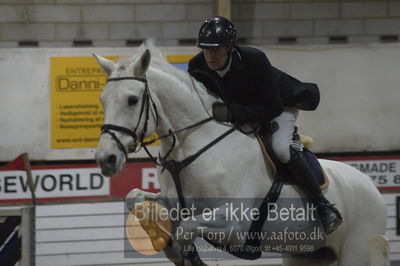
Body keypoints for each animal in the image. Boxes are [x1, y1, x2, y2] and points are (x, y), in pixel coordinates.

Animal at [94, 42, 388, 264]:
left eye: (132, 100)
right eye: (103, 99)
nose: (106, 159)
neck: (191, 145)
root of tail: (369, 184)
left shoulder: (236, 223)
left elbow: (186, 230)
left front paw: (183, 251)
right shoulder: (174, 203)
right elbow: (135, 198)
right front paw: (163, 240)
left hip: (358, 250)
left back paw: (329, 216)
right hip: (306, 254)